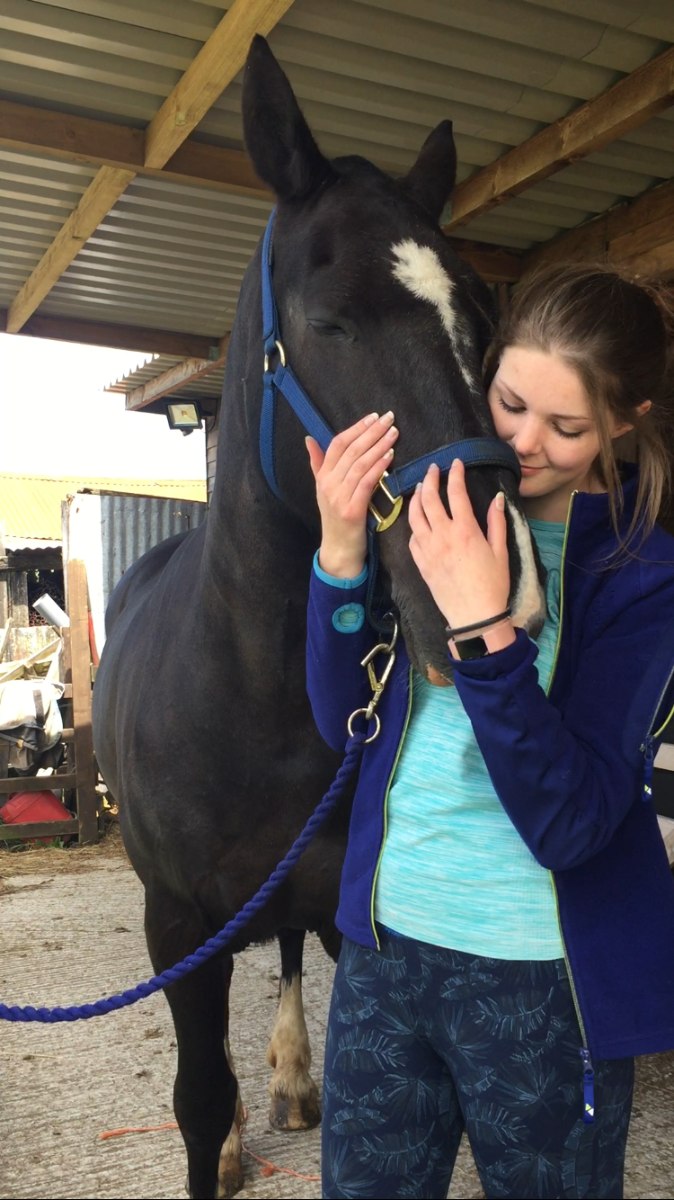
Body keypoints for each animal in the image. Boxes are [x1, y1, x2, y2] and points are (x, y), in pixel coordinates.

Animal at [91, 35, 542, 1200]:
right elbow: (199, 1100)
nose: (500, 585)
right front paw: (223, 1139)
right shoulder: (176, 922)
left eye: (478, 324)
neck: (250, 692)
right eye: (327, 320)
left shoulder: (352, 912)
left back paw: (291, 1075)